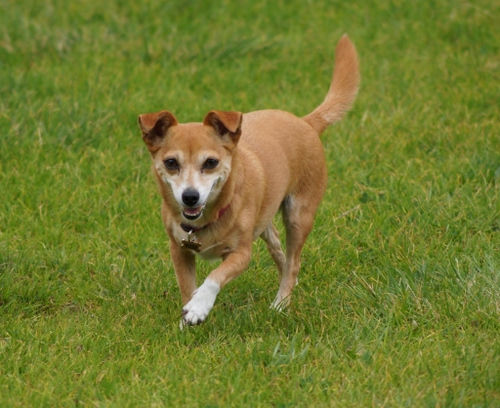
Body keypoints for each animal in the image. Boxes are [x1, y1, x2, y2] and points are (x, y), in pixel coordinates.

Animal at [138, 35, 359, 325]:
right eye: (171, 163)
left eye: (211, 162)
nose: (190, 196)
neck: (209, 218)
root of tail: (306, 122)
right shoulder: (180, 251)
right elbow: (187, 288)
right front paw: (186, 319)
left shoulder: (241, 254)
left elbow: (214, 277)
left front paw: (200, 306)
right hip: (265, 220)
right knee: (280, 251)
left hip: (298, 215)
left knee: (293, 262)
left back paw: (281, 303)